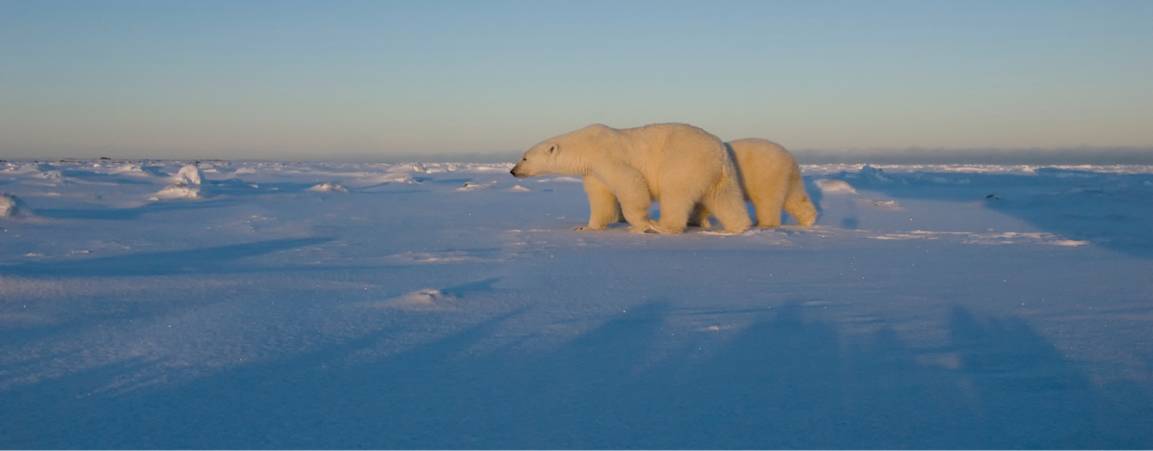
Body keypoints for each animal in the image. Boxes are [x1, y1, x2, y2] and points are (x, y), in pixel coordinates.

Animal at [511, 123, 747, 236]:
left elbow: (631, 183)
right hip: (719, 173)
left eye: (524, 157)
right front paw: (586, 228)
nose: (513, 171)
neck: (585, 146)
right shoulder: (594, 171)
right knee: (725, 198)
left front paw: (639, 225)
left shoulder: (607, 156)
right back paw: (736, 228)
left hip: (684, 162)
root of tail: (719, 151)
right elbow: (601, 199)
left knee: (675, 193)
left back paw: (662, 226)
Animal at [691, 137, 820, 229]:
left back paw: (765, 224)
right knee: (794, 196)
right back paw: (808, 220)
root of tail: (790, 158)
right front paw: (700, 222)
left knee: (767, 201)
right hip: (789, 177)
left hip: (765, 174)